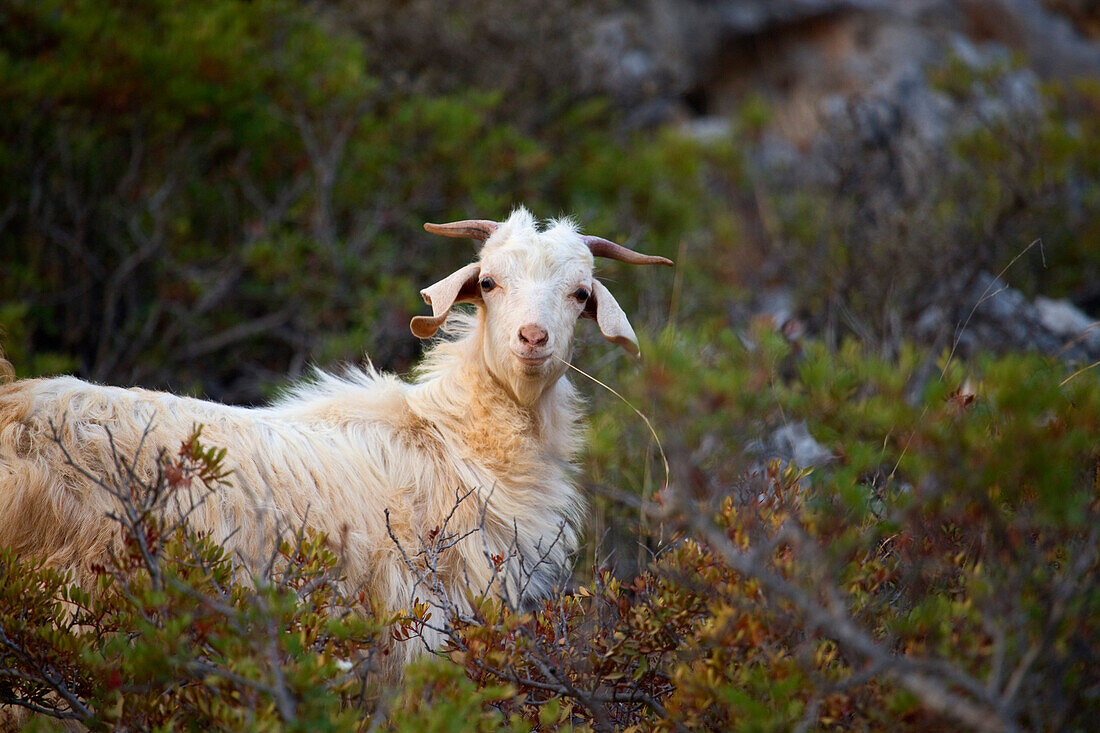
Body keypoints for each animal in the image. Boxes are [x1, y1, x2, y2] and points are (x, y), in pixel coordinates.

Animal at [0, 205, 668, 655]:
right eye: (488, 282)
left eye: (579, 294)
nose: (533, 338)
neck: (454, 441)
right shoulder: (418, 620)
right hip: (74, 601)